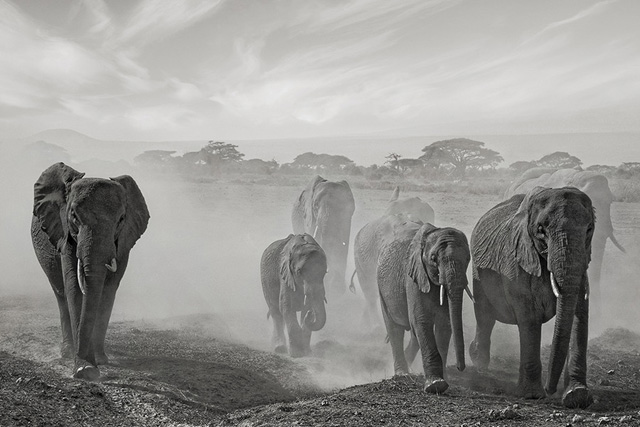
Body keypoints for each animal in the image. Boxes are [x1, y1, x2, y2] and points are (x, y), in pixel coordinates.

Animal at [31, 163, 150, 382]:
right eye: (74, 217)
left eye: (121, 219)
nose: (84, 370)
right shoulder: (65, 234)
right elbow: (74, 289)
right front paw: (84, 368)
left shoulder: (123, 242)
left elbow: (108, 291)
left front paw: (97, 363)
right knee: (61, 293)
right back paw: (68, 353)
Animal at [378, 224, 472, 394]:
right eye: (433, 259)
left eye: (468, 258)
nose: (460, 367)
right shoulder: (413, 277)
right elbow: (421, 320)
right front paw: (436, 385)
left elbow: (444, 323)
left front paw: (444, 380)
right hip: (382, 289)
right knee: (394, 329)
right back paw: (402, 373)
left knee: (413, 335)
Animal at [470, 187, 596, 408]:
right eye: (541, 230)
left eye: (589, 229)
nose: (550, 389)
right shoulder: (516, 263)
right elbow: (528, 318)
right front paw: (532, 395)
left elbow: (579, 315)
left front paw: (577, 396)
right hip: (478, 274)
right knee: (485, 316)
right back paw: (479, 364)